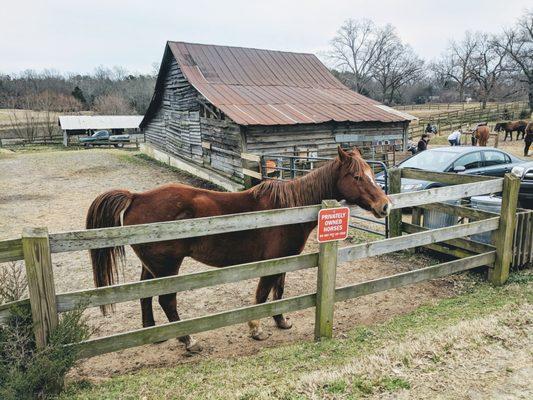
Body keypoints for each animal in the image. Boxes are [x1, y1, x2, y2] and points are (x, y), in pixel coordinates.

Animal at [85, 146, 388, 350]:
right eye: (357, 176)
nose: (384, 205)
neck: (288, 208)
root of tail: (136, 197)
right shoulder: (272, 261)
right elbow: (263, 294)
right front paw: (256, 329)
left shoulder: (285, 260)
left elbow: (278, 291)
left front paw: (281, 321)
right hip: (167, 267)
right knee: (166, 300)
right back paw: (188, 340)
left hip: (153, 266)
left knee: (145, 296)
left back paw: (154, 335)